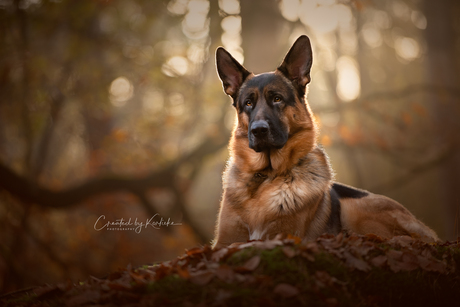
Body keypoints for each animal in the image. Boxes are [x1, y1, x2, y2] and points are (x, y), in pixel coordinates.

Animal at [212, 35, 438, 249]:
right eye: (248, 103)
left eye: (277, 99)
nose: (258, 130)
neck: (266, 178)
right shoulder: (223, 241)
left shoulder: (280, 235)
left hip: (355, 209)